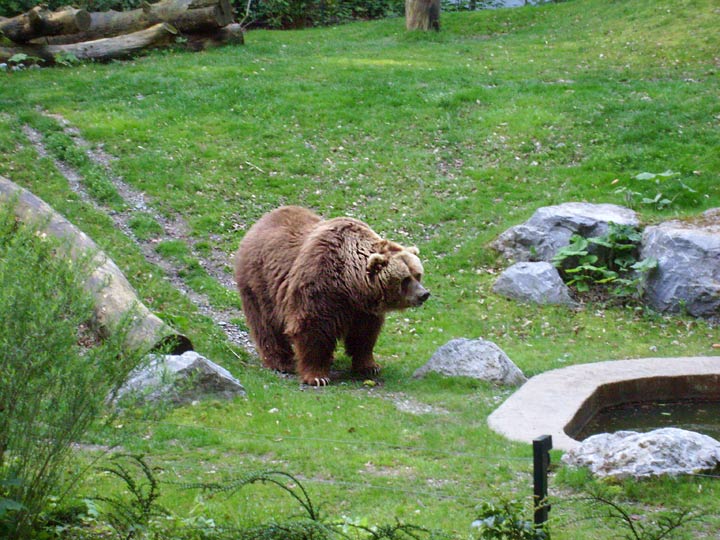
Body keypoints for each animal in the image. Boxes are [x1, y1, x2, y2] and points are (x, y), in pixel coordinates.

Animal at [233, 205, 430, 386]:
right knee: (266, 324)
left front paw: (369, 366)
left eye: (418, 274)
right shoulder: (320, 283)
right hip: (259, 282)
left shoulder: (362, 309)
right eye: (405, 279)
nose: (424, 294)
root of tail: (260, 222)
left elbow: (365, 334)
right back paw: (281, 362)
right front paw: (317, 376)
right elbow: (313, 328)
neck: (351, 284)